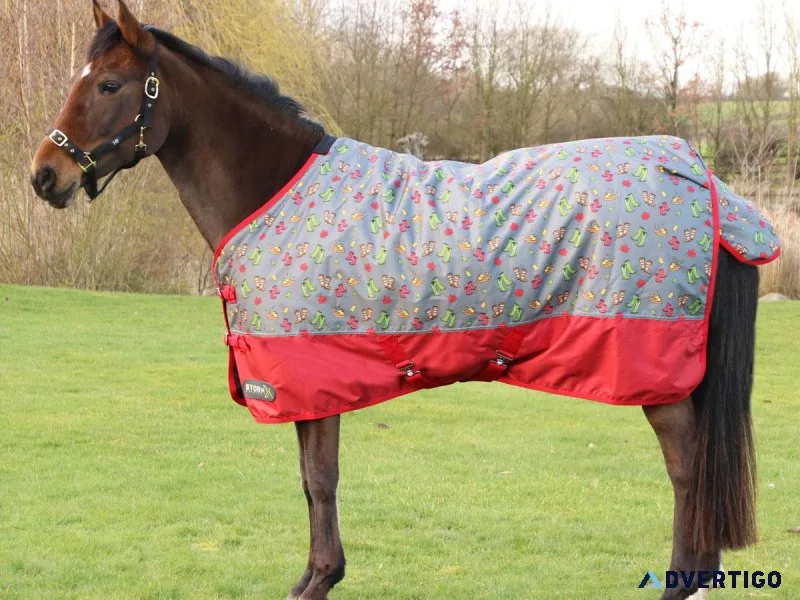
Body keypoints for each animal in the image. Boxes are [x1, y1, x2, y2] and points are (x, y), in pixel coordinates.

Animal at [30, 2, 780, 599]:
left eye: (109, 84)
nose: (45, 175)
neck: (277, 189)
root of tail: (703, 177)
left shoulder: (312, 376)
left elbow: (320, 480)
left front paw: (319, 579)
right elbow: (310, 479)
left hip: (658, 373)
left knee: (686, 473)